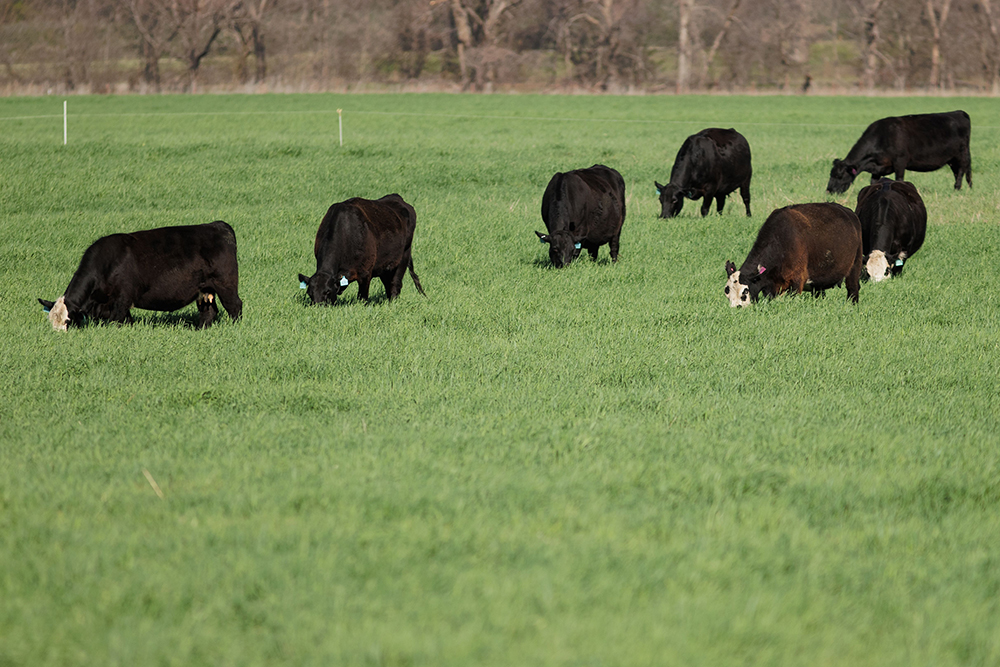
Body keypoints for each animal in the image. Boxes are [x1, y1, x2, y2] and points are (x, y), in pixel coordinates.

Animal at [38, 221, 242, 331]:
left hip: (226, 285)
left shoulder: (122, 299)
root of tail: (218, 225)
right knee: (209, 312)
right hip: (204, 290)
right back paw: (201, 330)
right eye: (51, 321)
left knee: (235, 307)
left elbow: (118, 321)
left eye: (68, 321)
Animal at [724, 203, 862, 307]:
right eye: (727, 292)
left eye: (744, 293)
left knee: (853, 290)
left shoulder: (797, 280)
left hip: (855, 267)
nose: (736, 308)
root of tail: (850, 213)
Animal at [826, 110, 971, 194]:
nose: (829, 191)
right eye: (830, 174)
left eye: (839, 176)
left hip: (961, 154)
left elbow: (899, 179)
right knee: (957, 171)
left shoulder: (900, 162)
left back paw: (957, 189)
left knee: (961, 171)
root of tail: (959, 112)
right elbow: (873, 182)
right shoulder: (877, 168)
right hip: (952, 159)